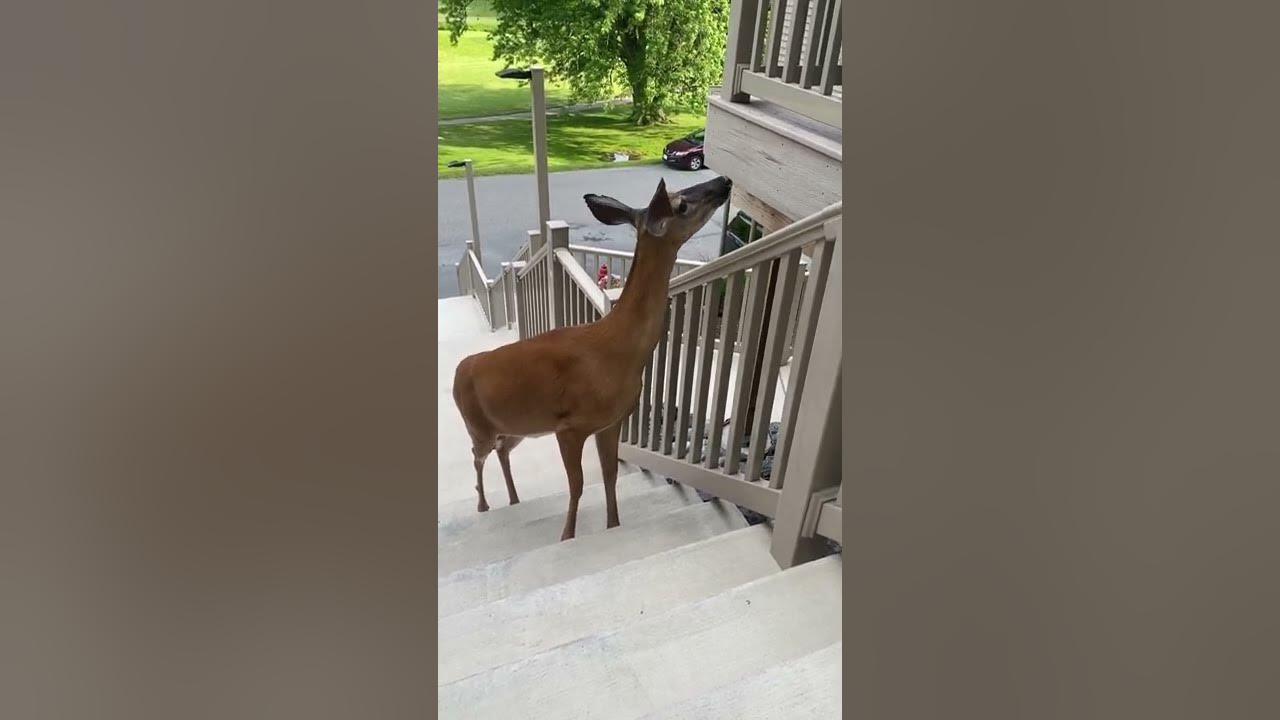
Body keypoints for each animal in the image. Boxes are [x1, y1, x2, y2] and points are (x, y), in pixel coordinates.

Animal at [451, 174, 732, 541]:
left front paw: (613, 525)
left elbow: (609, 476)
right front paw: (567, 536)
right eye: (680, 204)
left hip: (516, 427)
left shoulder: (610, 422)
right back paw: (484, 505)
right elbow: (578, 486)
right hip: (478, 426)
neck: (617, 350)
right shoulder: (569, 425)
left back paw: (513, 499)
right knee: (476, 455)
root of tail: (459, 370)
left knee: (501, 451)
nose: (724, 181)